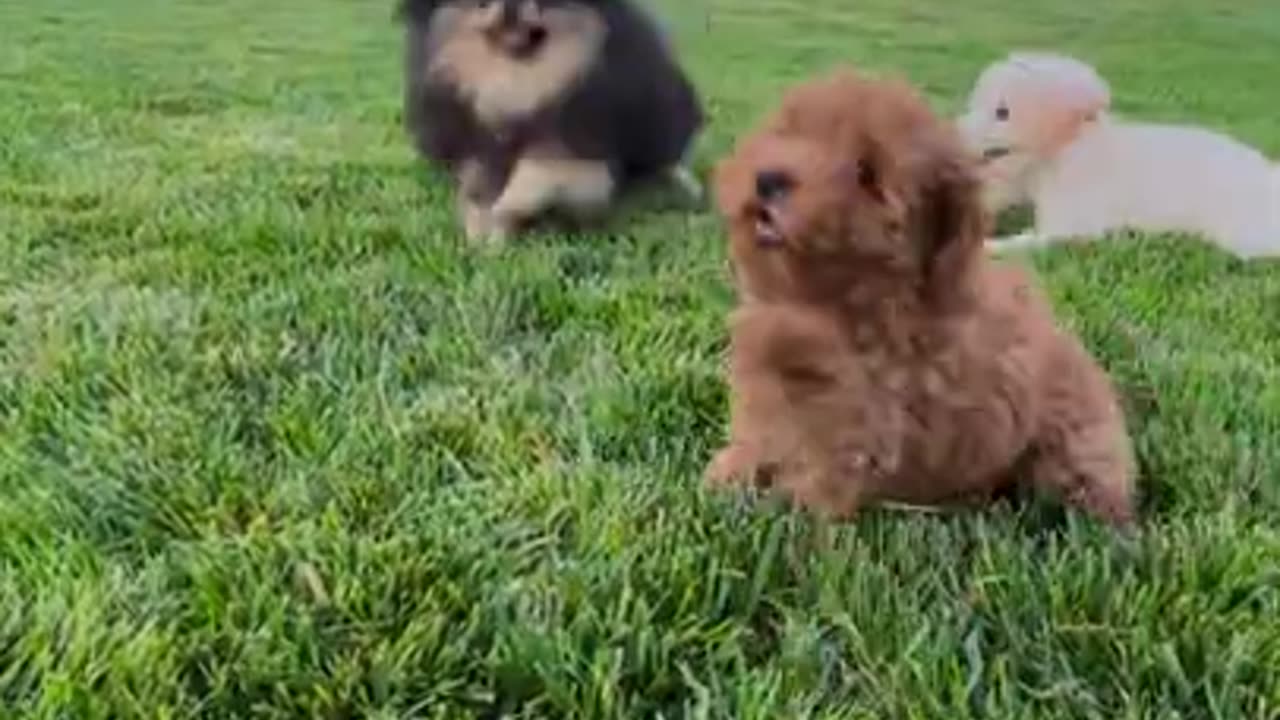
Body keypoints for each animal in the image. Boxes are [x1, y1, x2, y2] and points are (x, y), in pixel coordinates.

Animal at [396, 0, 701, 242]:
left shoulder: (577, 142)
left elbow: (537, 178)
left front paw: (503, 221)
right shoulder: (473, 141)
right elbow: (476, 184)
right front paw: (479, 224)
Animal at [706, 67, 1136, 525]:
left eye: (867, 173)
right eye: (788, 131)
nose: (768, 179)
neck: (827, 305)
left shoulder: (859, 419)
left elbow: (818, 471)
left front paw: (788, 512)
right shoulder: (767, 389)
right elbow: (759, 434)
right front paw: (727, 476)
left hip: (1074, 449)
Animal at [962, 53, 1280, 260]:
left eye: (1002, 113)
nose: (958, 132)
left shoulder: (1074, 222)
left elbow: (1037, 238)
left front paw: (989, 247)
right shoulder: (1022, 179)